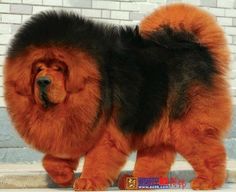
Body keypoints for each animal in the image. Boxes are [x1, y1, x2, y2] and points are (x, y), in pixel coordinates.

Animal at [4, 3, 232, 190]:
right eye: (38, 68)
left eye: (59, 68)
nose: (42, 81)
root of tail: (199, 51)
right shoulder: (76, 129)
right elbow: (51, 160)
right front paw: (63, 177)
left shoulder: (106, 133)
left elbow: (96, 160)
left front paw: (87, 182)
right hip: (156, 120)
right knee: (157, 157)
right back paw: (136, 181)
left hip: (187, 126)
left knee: (210, 152)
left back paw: (207, 182)